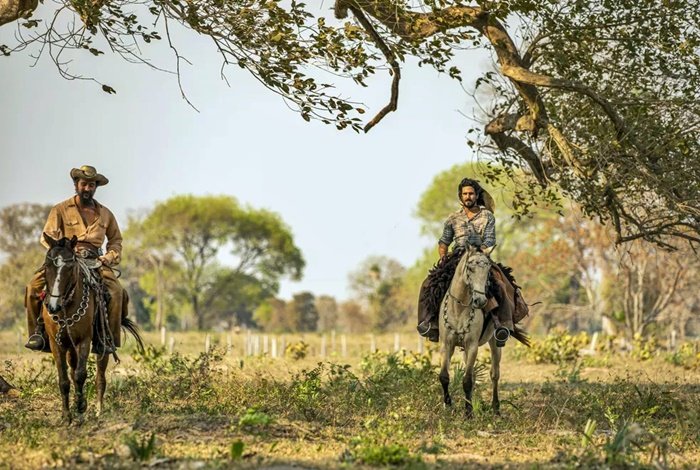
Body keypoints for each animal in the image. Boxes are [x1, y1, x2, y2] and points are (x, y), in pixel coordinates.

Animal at [40, 234, 144, 422]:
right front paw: (66, 415)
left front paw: (81, 408)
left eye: (70, 266)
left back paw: (98, 410)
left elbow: (80, 375)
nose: (53, 306)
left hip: (103, 343)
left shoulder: (84, 340)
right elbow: (64, 379)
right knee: (72, 370)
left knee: (99, 377)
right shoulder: (56, 343)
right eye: (47, 265)